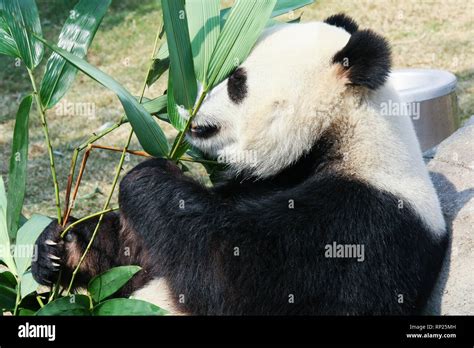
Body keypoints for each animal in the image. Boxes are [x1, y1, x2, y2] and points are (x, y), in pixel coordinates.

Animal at [32, 14, 448, 316]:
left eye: (236, 82)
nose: (187, 107)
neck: (338, 134)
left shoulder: (359, 225)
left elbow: (228, 275)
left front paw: (148, 178)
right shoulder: (262, 181)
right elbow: (138, 263)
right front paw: (60, 247)